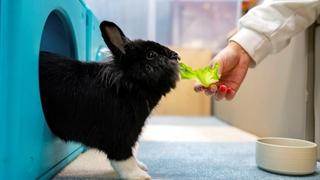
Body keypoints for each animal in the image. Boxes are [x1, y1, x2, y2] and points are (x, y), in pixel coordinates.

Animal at [39, 20, 180, 179]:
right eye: (151, 54)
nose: (176, 55)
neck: (128, 85)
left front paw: (141, 166)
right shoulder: (119, 136)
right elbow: (124, 158)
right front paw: (139, 175)